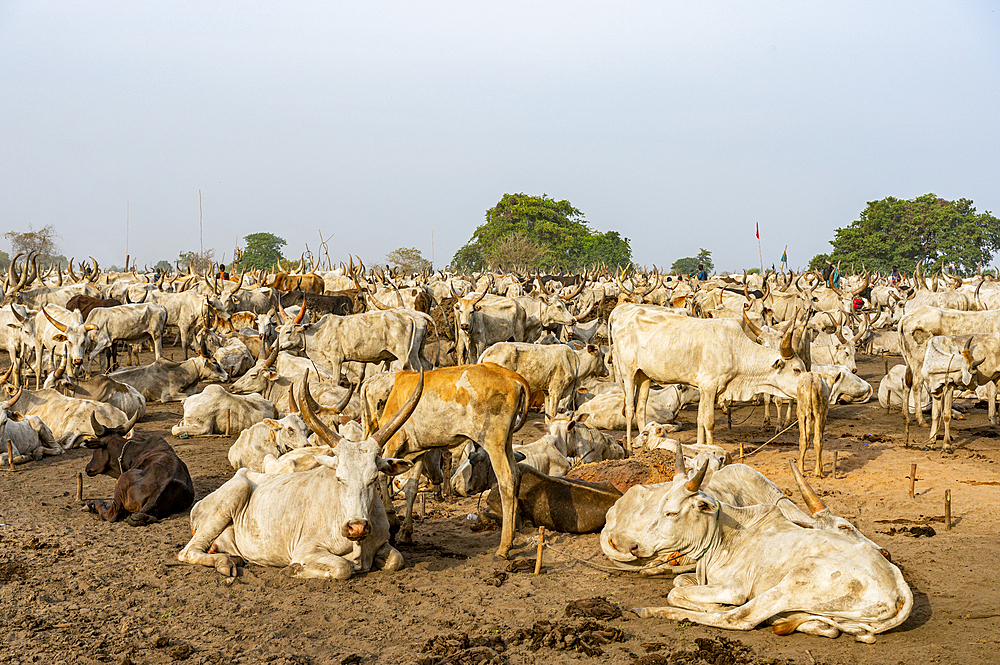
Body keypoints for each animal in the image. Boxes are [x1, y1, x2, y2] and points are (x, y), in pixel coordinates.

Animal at [176, 368, 422, 580]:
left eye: (373, 479)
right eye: (339, 478)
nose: (357, 526)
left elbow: (396, 560)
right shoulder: (306, 549)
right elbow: (342, 567)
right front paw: (293, 569)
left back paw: (229, 560)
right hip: (235, 492)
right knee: (187, 552)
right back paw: (225, 563)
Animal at [360, 364, 532, 556]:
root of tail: (512, 376)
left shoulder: (393, 442)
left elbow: (382, 476)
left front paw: (391, 518)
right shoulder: (418, 452)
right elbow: (411, 489)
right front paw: (406, 532)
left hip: (493, 443)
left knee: (507, 480)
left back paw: (504, 546)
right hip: (507, 441)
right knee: (516, 474)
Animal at [478, 342, 608, 416]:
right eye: (603, 356)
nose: (606, 371)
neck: (575, 363)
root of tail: (487, 351)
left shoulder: (547, 392)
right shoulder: (556, 390)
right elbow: (553, 414)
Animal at [596, 460, 912, 640]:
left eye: (671, 512)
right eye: (659, 507)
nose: (636, 546)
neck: (726, 536)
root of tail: (899, 585)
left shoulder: (733, 588)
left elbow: (679, 593)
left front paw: (714, 605)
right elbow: (678, 584)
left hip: (795, 581)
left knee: (741, 618)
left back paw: (650, 611)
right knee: (832, 627)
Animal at [608, 302, 804, 448]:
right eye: (796, 370)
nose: (805, 389)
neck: (735, 349)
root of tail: (619, 315)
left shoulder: (704, 388)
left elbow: (700, 419)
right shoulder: (710, 387)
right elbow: (709, 421)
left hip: (644, 376)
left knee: (640, 409)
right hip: (628, 372)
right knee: (630, 409)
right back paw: (629, 447)